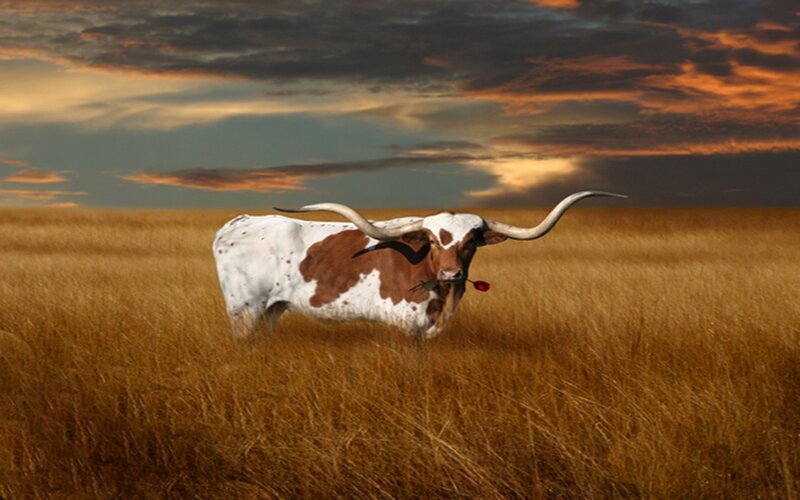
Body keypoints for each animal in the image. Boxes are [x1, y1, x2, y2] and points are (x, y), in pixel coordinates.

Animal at [213, 191, 625, 342]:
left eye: (472, 240)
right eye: (432, 240)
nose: (451, 273)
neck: (442, 297)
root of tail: (237, 222)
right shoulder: (404, 326)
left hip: (271, 310)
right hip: (243, 310)